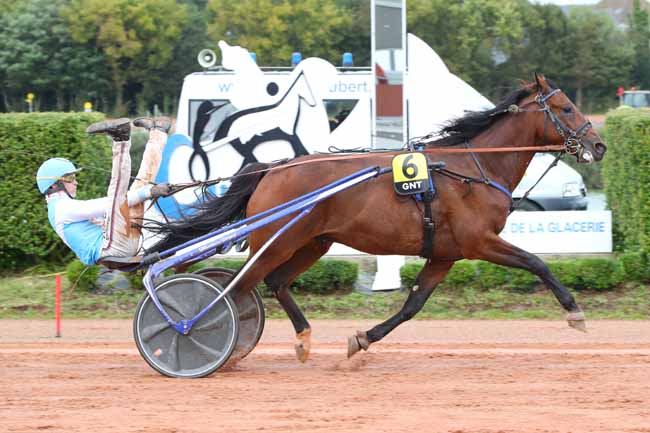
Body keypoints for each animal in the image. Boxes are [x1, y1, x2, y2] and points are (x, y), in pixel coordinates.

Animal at [147, 75, 604, 362]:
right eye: (566, 107)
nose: (598, 145)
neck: (473, 168)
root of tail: (271, 169)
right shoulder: (479, 241)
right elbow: (537, 263)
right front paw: (574, 312)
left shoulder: (445, 254)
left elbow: (413, 305)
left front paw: (362, 339)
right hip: (278, 241)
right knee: (239, 287)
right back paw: (190, 330)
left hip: (313, 242)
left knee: (271, 283)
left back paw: (302, 339)